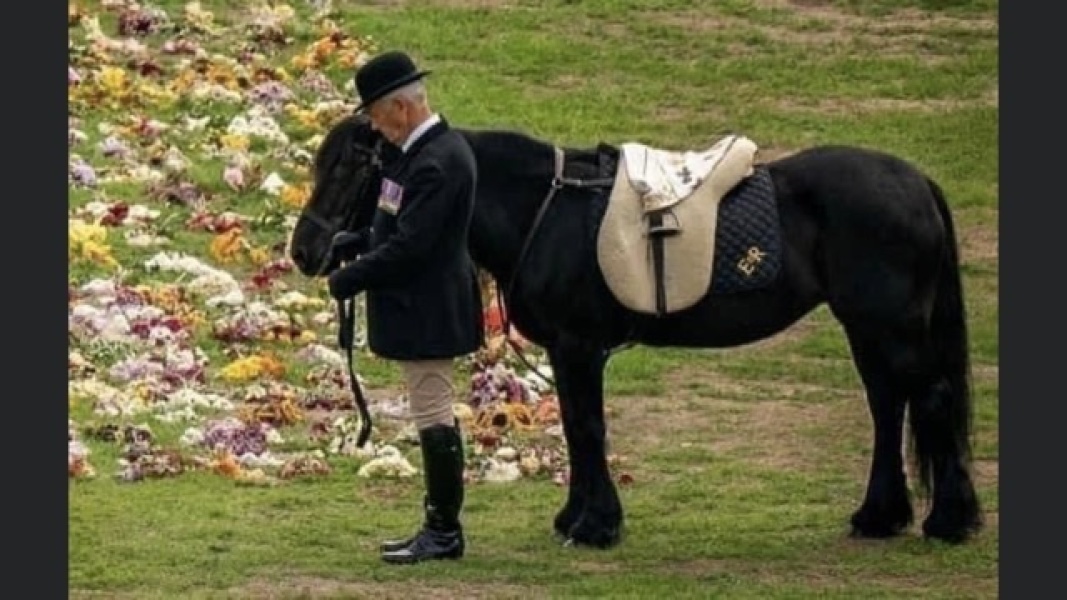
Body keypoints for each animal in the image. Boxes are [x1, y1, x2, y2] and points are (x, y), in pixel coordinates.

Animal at [288, 113, 982, 548]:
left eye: (349, 167)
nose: (305, 250)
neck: (546, 209)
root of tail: (916, 182)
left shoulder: (578, 347)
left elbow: (586, 428)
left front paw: (595, 527)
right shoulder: (569, 351)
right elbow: (577, 428)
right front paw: (576, 518)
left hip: (890, 327)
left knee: (929, 400)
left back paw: (949, 521)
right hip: (867, 328)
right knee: (888, 406)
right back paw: (879, 516)